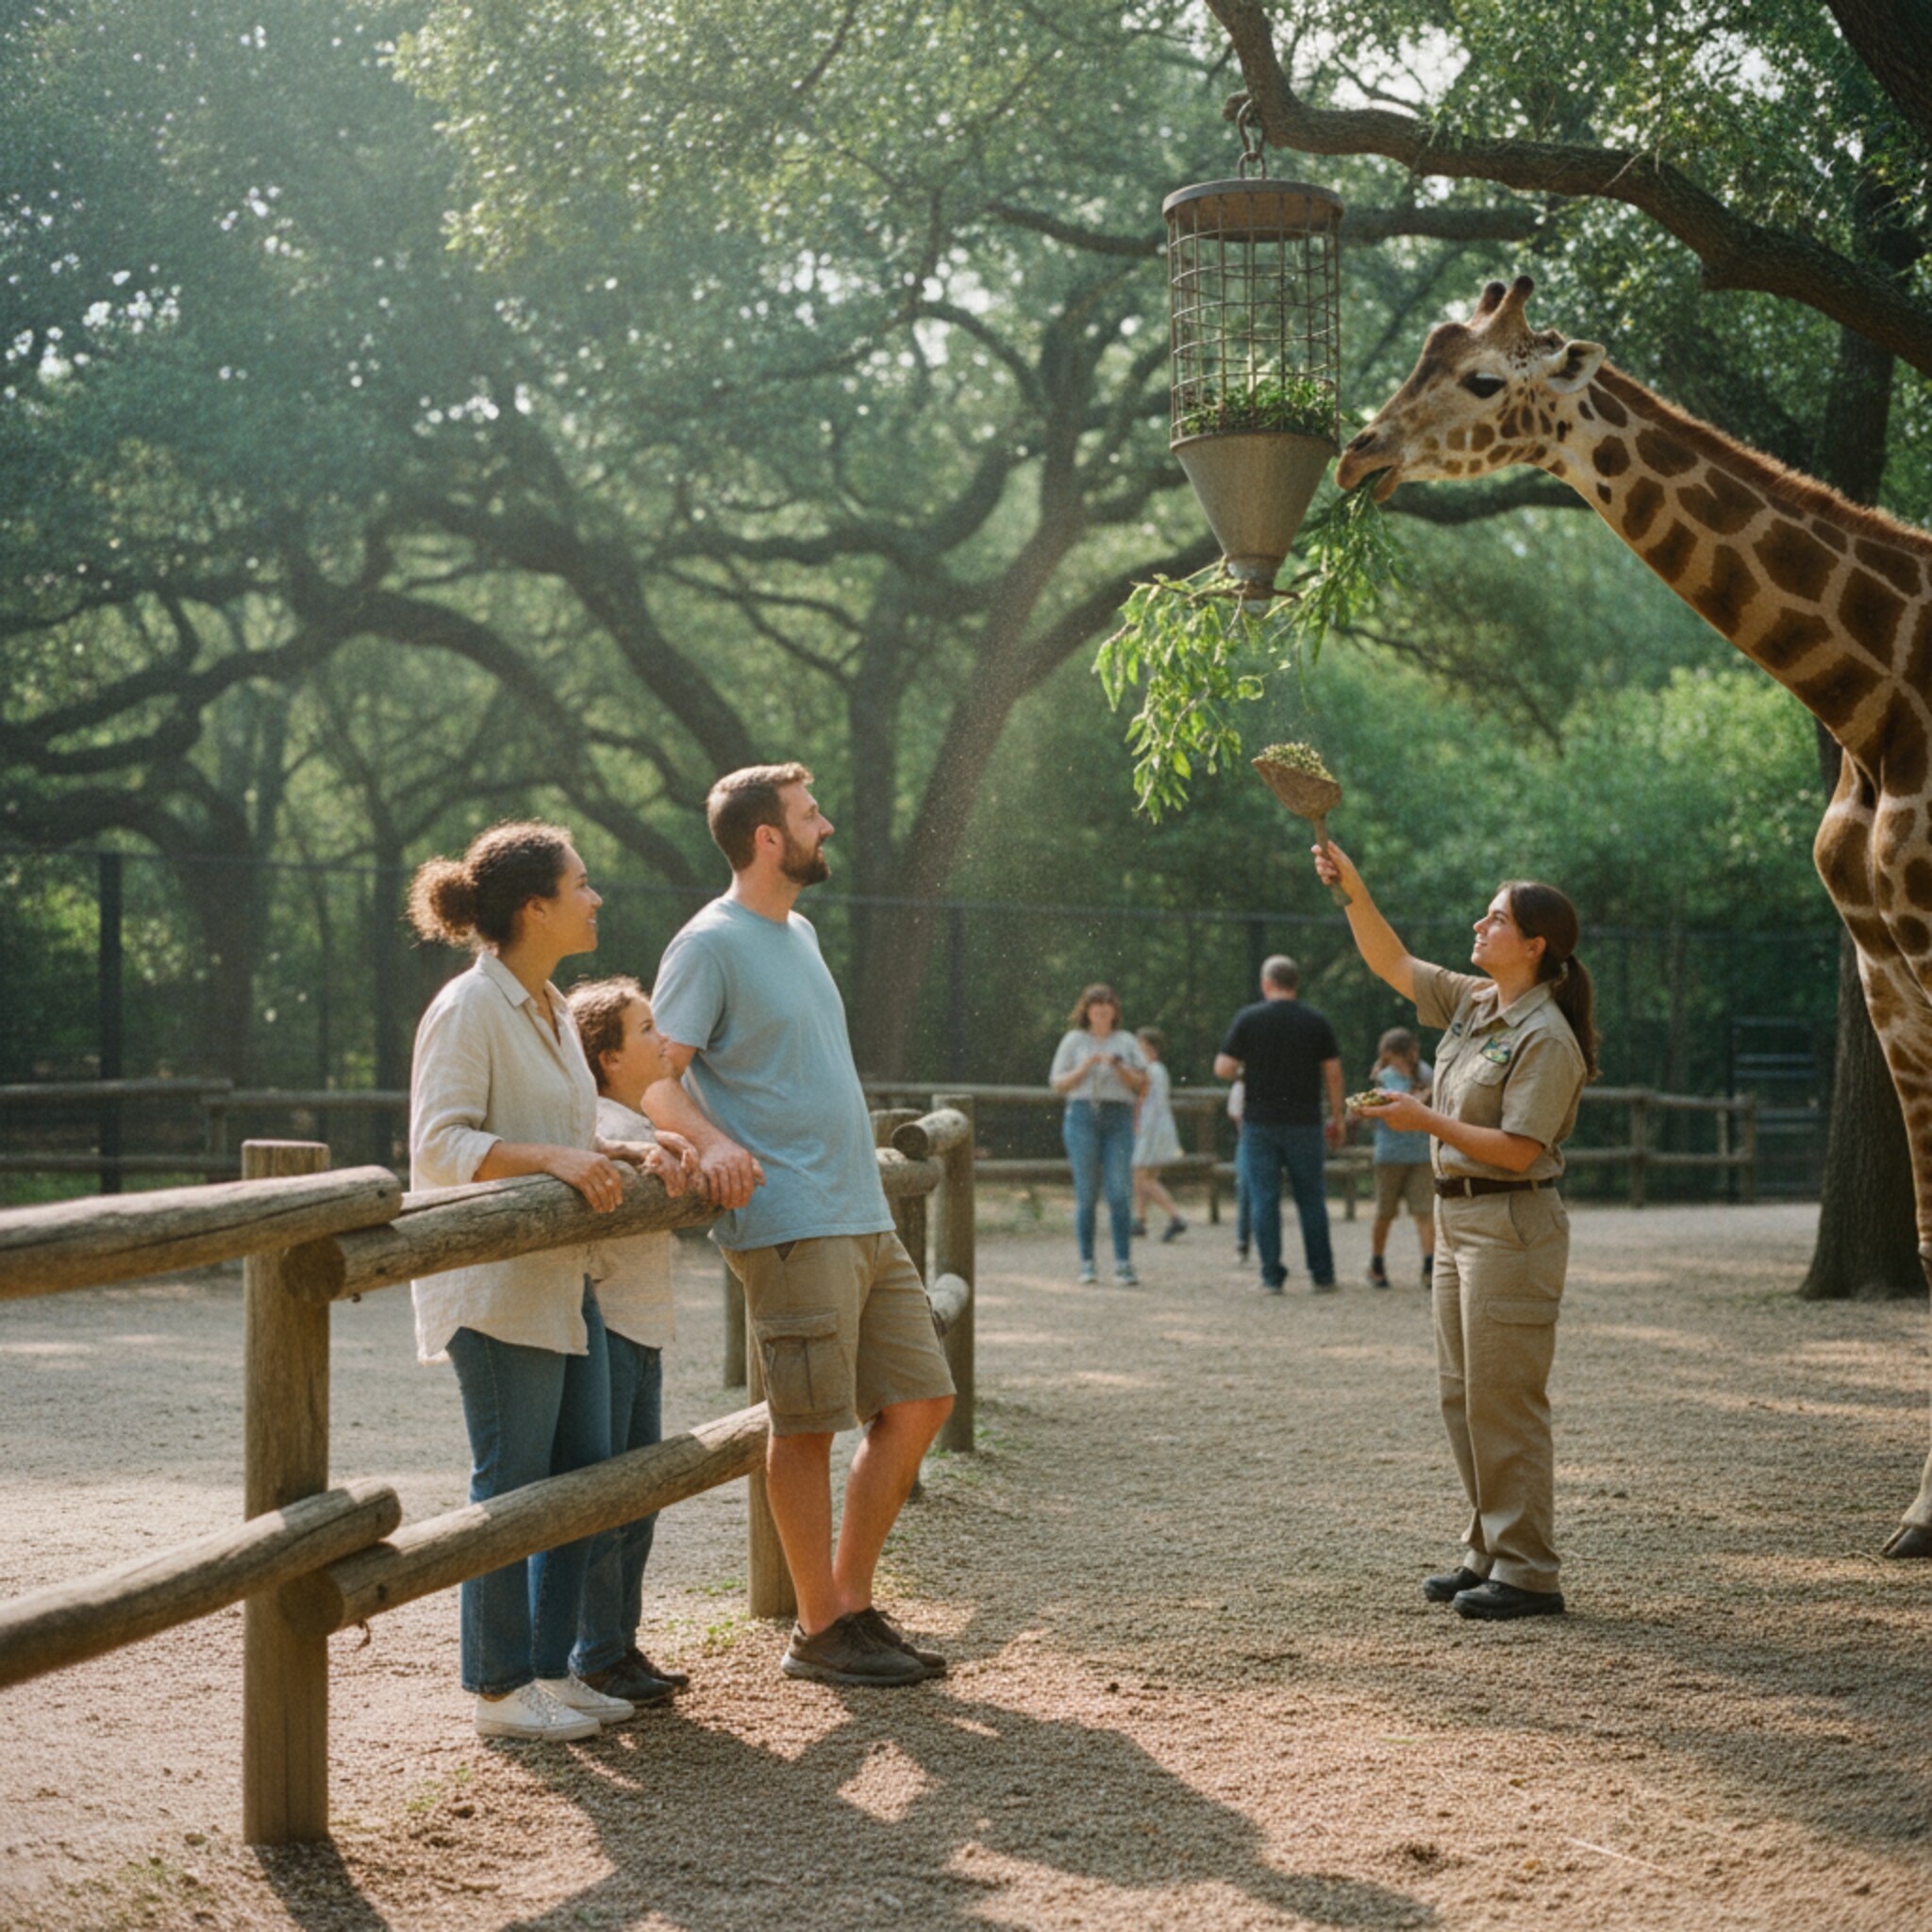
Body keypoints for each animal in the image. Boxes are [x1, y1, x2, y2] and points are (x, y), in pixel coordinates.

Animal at [1335, 275, 1932, 1556]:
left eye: (1480, 377)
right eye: (1426, 353)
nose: (1358, 453)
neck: (1881, 701)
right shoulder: (1884, 972)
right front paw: (1919, 1513)